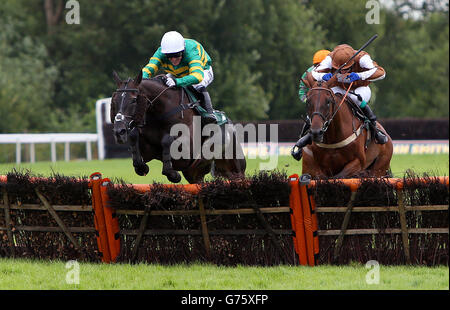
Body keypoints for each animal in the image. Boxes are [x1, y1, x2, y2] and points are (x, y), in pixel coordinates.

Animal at [111, 71, 248, 183]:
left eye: (133, 100)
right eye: (114, 100)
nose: (119, 131)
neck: (159, 113)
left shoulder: (187, 151)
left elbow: (167, 140)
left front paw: (173, 175)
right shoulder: (148, 151)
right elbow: (134, 136)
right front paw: (141, 167)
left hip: (236, 169)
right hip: (194, 173)